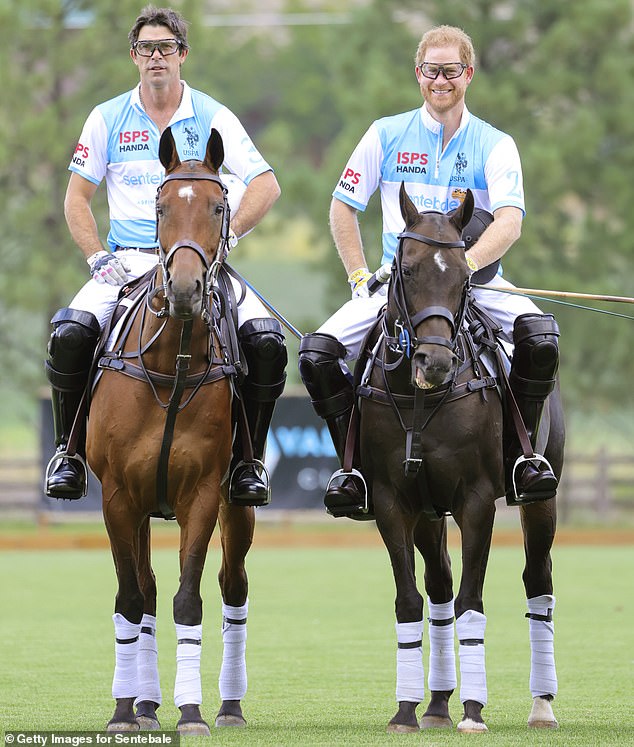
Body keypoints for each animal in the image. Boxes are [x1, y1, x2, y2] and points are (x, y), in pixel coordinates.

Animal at [87, 129, 254, 736]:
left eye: (218, 207)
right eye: (160, 209)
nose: (184, 290)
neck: (171, 364)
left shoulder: (201, 494)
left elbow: (189, 600)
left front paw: (192, 712)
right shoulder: (117, 496)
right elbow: (131, 599)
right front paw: (122, 711)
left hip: (236, 503)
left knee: (233, 587)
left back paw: (228, 706)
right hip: (136, 509)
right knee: (146, 590)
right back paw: (142, 703)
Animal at [356, 184, 564, 732]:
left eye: (465, 275)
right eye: (406, 270)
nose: (435, 363)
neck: (419, 398)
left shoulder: (477, 499)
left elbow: (473, 599)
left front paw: (473, 710)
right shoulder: (392, 500)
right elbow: (411, 600)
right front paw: (406, 711)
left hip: (543, 495)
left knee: (538, 581)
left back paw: (542, 706)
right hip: (429, 511)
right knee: (439, 585)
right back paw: (435, 704)